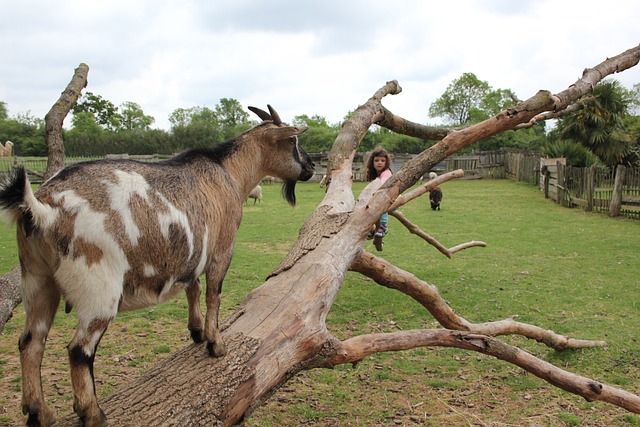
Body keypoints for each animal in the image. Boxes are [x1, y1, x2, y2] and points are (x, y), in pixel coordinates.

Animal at [0, 104, 316, 427]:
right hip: (97, 284)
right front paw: (216, 344)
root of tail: (43, 208)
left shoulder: (192, 253)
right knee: (79, 349)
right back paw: (92, 413)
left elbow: (193, 287)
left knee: (31, 341)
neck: (228, 172)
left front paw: (196, 332)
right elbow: (213, 294)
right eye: (293, 141)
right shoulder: (222, 249)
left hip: (36, 278)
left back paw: (39, 412)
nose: (312, 166)